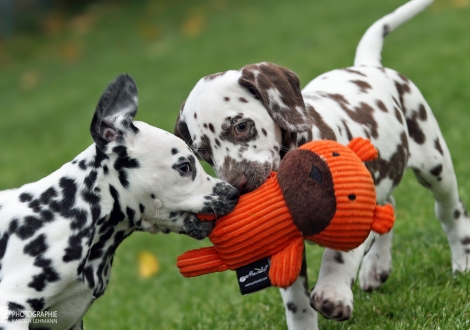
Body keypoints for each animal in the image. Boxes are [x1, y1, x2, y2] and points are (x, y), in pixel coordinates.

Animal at [173, 1, 470, 328]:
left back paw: (461, 260)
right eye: (202, 151)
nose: (238, 187)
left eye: (241, 126)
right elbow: (296, 300)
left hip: (434, 163)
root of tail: (367, 65)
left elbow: (339, 254)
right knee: (388, 207)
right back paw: (376, 267)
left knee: (449, 210)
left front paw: (332, 294)